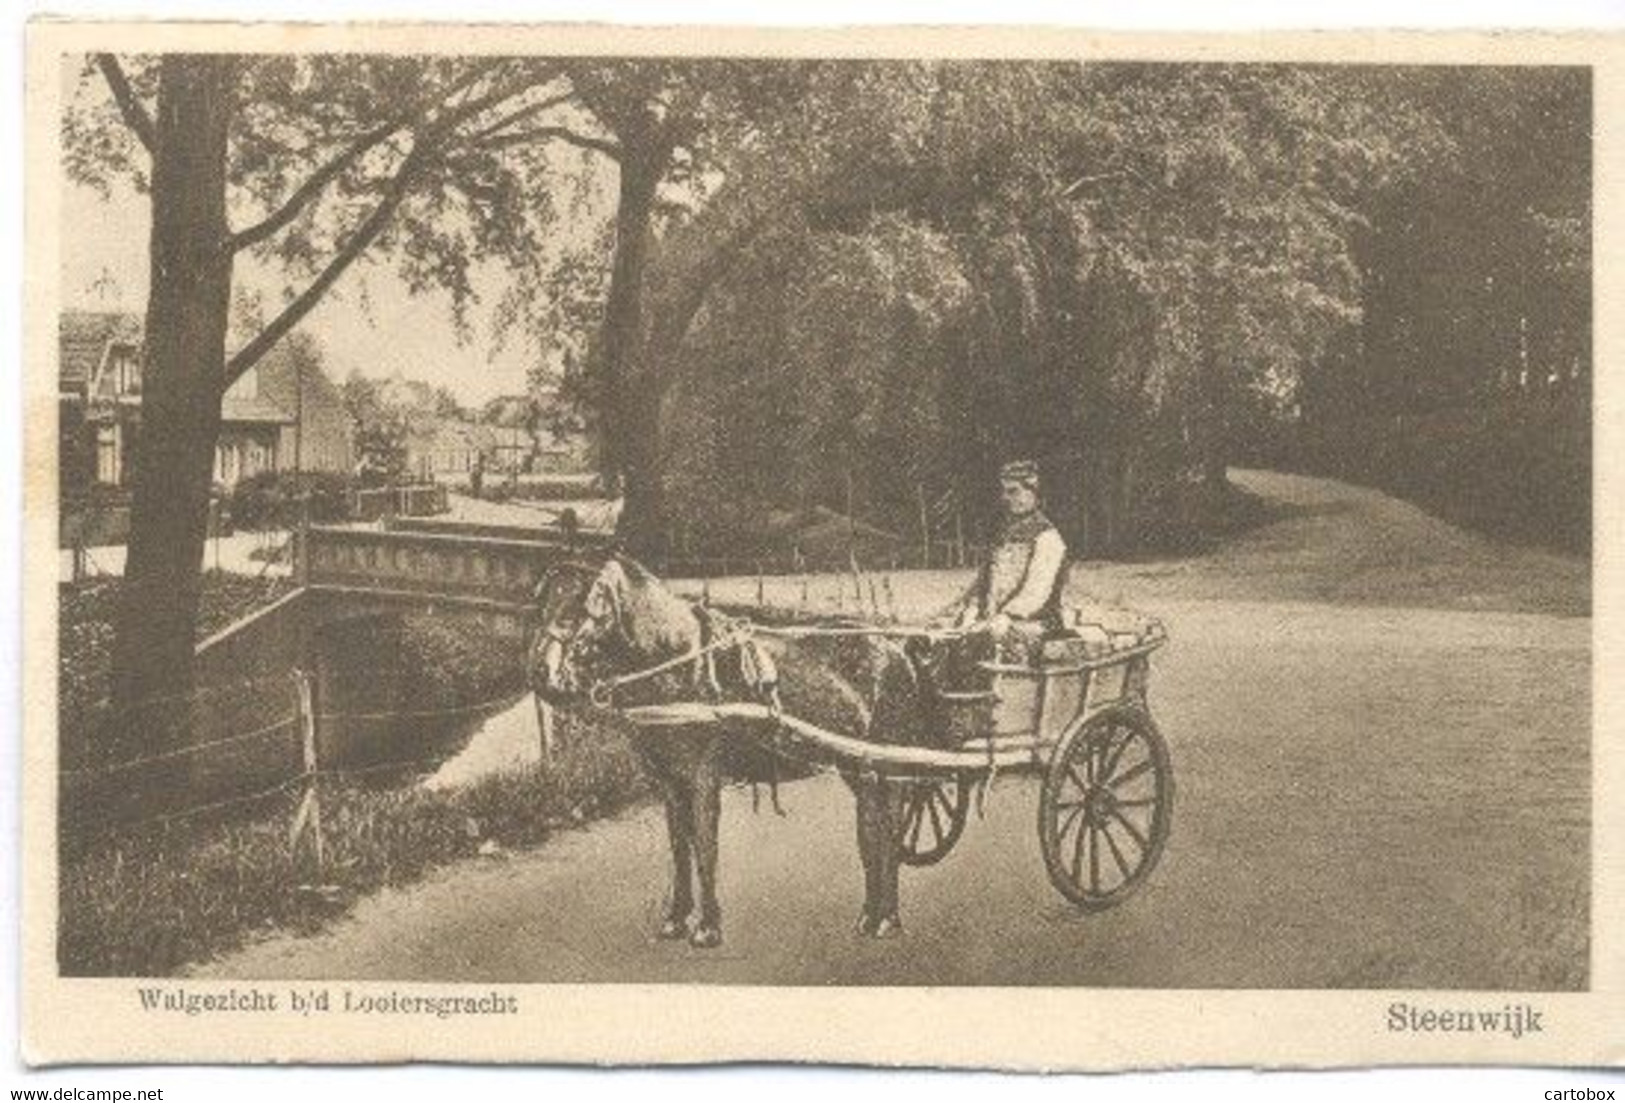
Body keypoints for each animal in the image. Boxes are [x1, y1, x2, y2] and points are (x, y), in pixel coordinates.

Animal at [526, 552, 949, 948]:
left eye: (580, 606)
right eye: (545, 603)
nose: (540, 674)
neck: (677, 660)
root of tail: (897, 649)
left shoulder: (703, 776)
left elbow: (705, 846)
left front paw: (708, 927)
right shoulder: (669, 782)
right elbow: (679, 847)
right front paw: (675, 920)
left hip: (888, 762)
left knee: (889, 831)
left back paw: (888, 920)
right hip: (856, 765)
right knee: (870, 830)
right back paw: (868, 917)